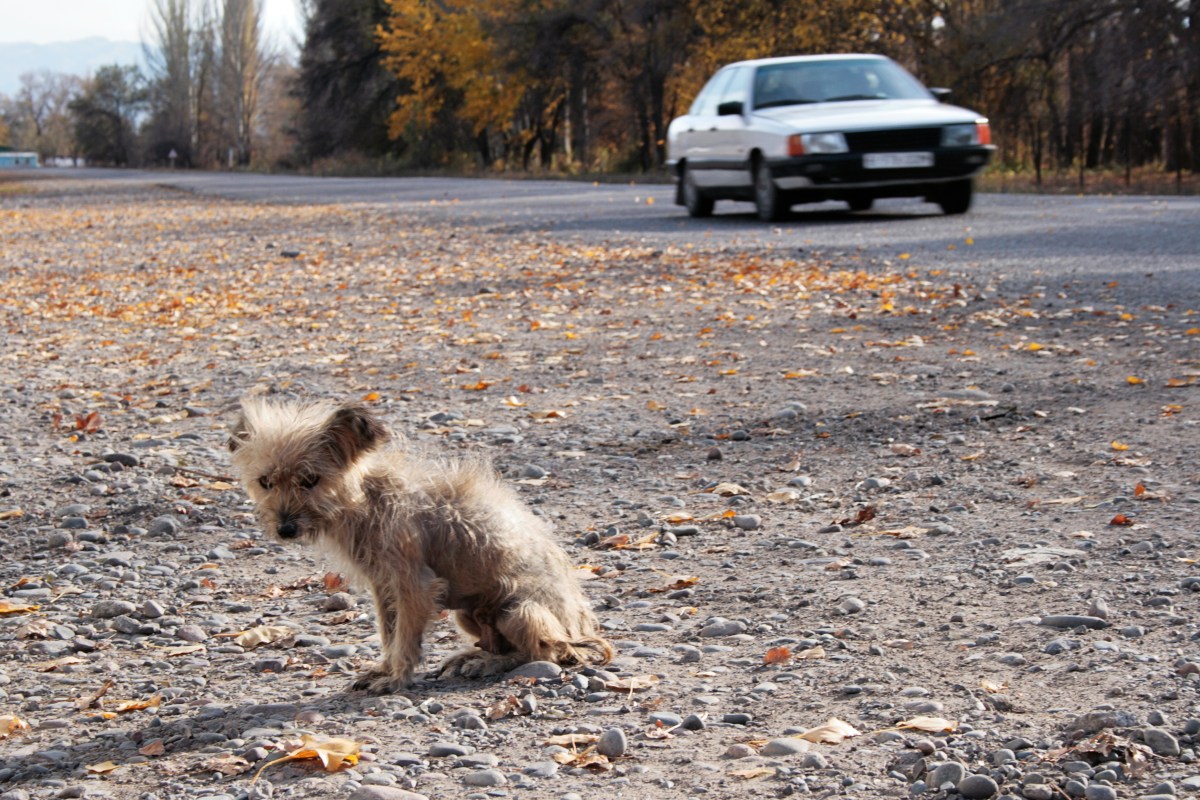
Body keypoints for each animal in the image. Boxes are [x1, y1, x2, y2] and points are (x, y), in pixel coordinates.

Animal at [229, 400, 614, 695]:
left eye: (310, 480)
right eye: (266, 482)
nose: (285, 529)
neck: (366, 498)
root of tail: (580, 632)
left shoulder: (414, 585)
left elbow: (404, 639)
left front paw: (396, 679)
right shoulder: (384, 587)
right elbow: (389, 634)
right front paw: (384, 669)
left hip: (518, 611)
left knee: (545, 653)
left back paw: (489, 663)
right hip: (469, 615)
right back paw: (473, 656)